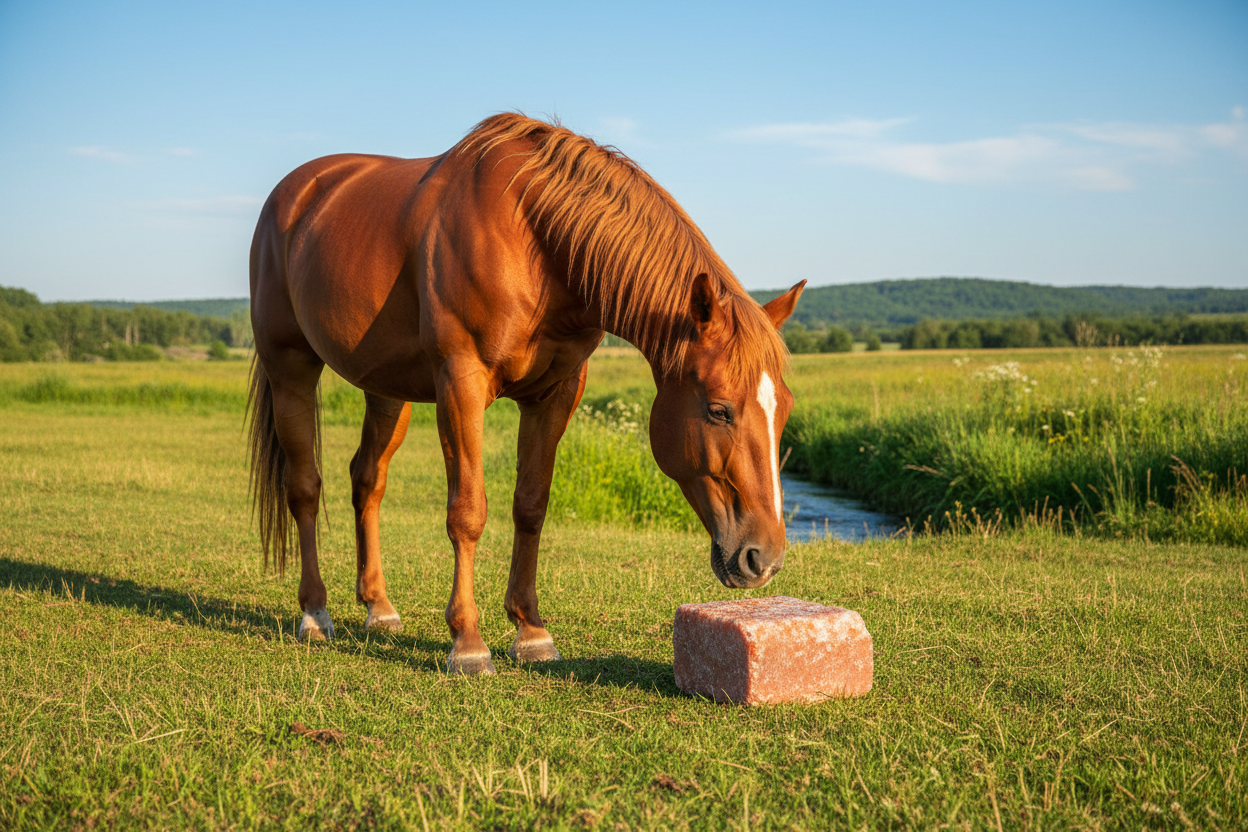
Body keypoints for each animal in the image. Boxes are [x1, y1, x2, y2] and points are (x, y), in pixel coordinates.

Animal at [247, 113, 805, 675]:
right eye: (719, 410)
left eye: (784, 412)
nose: (764, 558)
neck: (535, 244)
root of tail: (294, 194)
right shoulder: (461, 383)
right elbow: (468, 512)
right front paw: (468, 643)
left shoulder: (555, 394)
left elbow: (531, 506)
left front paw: (531, 632)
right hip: (290, 367)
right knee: (305, 487)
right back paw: (315, 613)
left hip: (386, 389)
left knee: (367, 480)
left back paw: (378, 607)